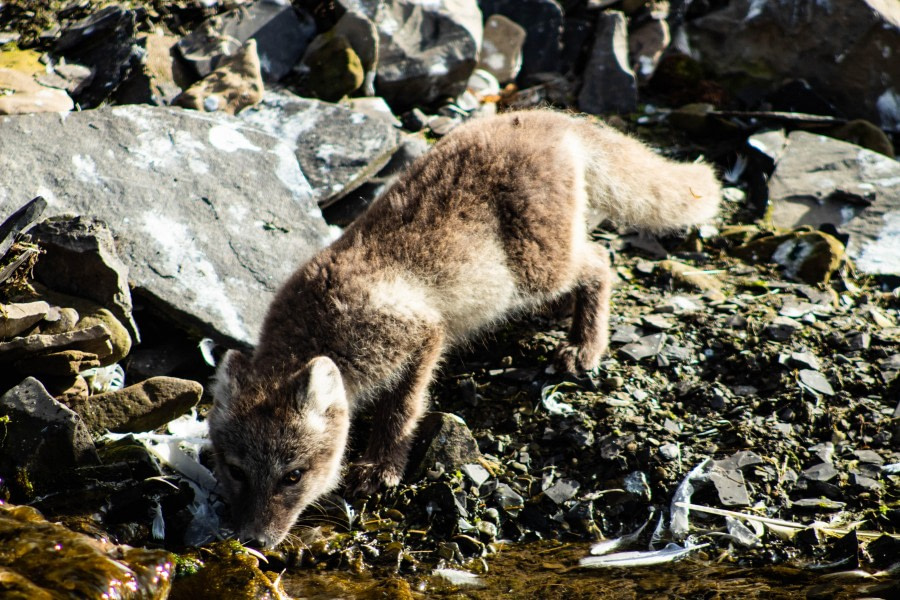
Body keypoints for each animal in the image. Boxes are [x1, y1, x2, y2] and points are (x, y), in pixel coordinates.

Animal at [207, 109, 720, 548]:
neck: (316, 330)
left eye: (292, 475)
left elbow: (402, 409)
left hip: (540, 266)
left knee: (600, 261)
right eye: (235, 471)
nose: (251, 541)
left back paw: (584, 346)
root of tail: (549, 117)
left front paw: (381, 466)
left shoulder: (423, 334)